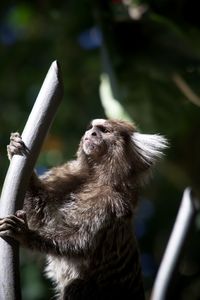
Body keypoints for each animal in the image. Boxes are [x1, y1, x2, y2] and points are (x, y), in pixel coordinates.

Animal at [0, 119, 167, 300]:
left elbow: (81, 242)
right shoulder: (69, 174)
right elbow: (40, 210)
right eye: (92, 128)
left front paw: (26, 234)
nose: (91, 133)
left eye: (104, 130)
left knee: (76, 286)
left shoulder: (111, 203)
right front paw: (16, 151)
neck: (95, 177)